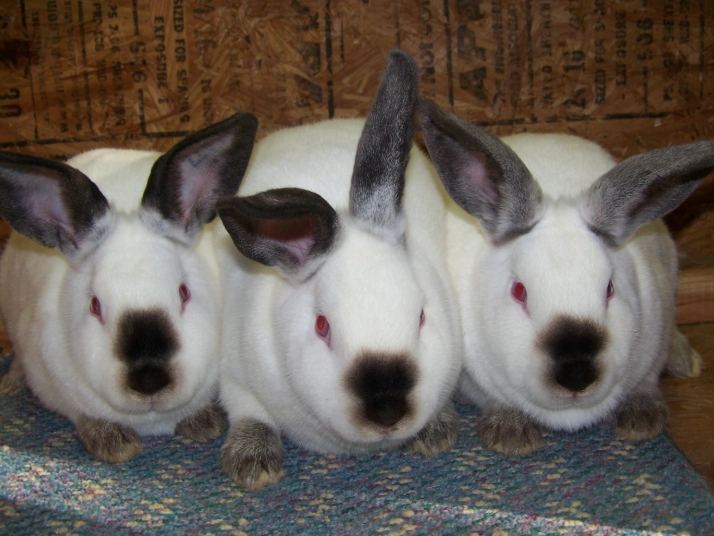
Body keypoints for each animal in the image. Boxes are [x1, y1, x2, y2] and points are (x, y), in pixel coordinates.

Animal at [0, 112, 258, 463]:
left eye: (183, 293)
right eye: (95, 305)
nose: (149, 380)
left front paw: (203, 423)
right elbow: (82, 415)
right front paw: (113, 443)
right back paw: (10, 383)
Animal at [215, 50, 463, 489]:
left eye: (421, 316)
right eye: (322, 326)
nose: (387, 412)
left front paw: (436, 433)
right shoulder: (235, 377)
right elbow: (249, 413)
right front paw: (253, 466)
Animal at [418, 97, 714, 456]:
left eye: (609, 288)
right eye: (519, 291)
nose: (577, 373)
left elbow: (646, 382)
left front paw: (642, 421)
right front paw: (511, 435)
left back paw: (687, 362)